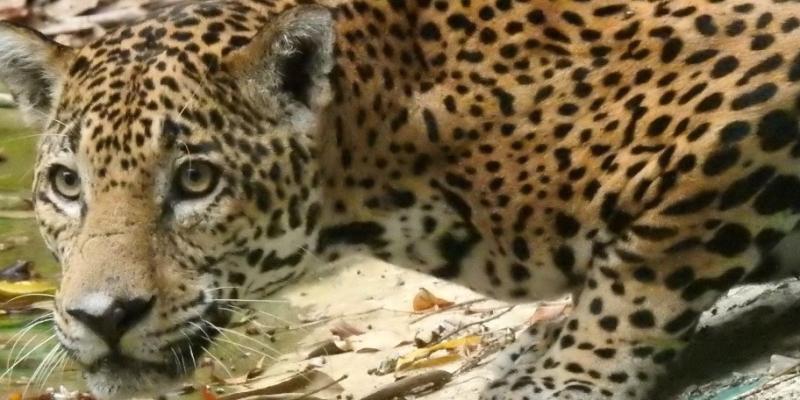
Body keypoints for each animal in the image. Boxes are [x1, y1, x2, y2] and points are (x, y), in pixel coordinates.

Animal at [2, 0, 800, 399]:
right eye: (67, 185)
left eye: (196, 180)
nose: (103, 317)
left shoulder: (747, 95)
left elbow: (638, 276)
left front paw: (565, 376)